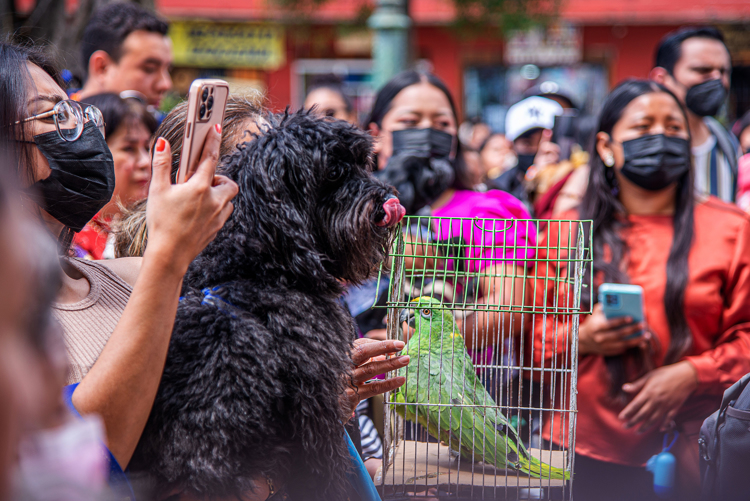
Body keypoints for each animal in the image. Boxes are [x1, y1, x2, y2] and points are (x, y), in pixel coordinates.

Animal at [134, 112, 406, 500]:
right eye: (334, 172)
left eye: (362, 163)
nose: (388, 198)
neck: (256, 268)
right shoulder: (315, 403)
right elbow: (327, 469)